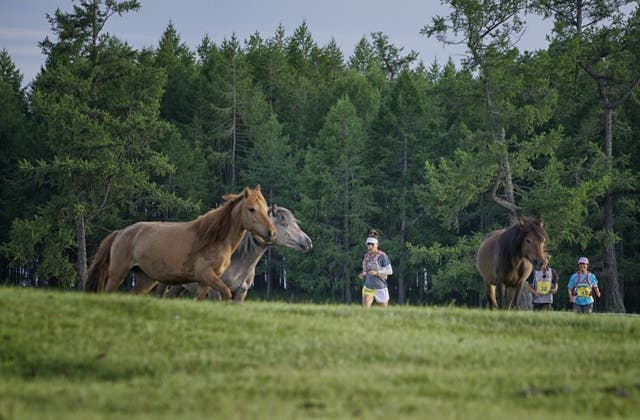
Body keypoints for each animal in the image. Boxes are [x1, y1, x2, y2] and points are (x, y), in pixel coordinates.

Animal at [85, 185, 276, 300]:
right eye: (251, 209)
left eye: (266, 209)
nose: (271, 233)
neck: (214, 239)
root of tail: (121, 232)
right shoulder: (208, 276)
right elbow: (227, 294)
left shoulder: (204, 282)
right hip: (118, 274)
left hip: (145, 279)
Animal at [140, 205, 313, 302]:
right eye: (284, 223)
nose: (308, 242)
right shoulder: (215, 291)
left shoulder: (240, 294)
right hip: (163, 282)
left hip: (179, 286)